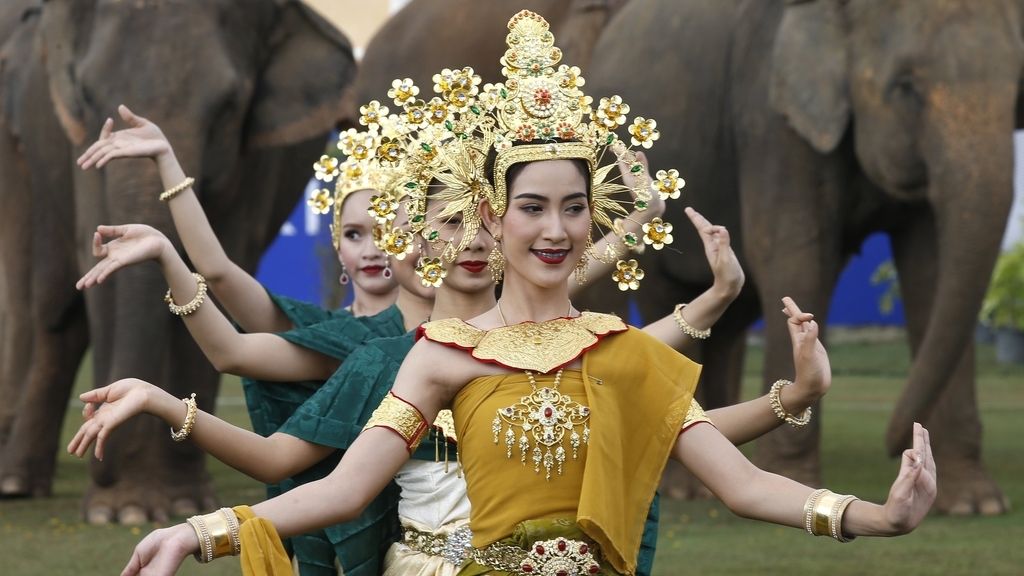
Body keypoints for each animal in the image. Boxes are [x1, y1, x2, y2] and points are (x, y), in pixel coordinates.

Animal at [0, 0, 358, 520]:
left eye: (229, 106)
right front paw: (122, 510)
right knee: (47, 306)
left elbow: (227, 257)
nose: (97, 446)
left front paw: (167, 503)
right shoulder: (75, 146)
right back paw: (16, 484)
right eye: (85, 95)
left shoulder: (256, 162)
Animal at [577, 0, 1015, 510]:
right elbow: (795, 252)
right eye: (906, 87)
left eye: (1017, 95)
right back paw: (685, 488)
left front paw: (975, 505)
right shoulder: (768, 118)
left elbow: (930, 268)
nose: (900, 440)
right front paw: (786, 474)